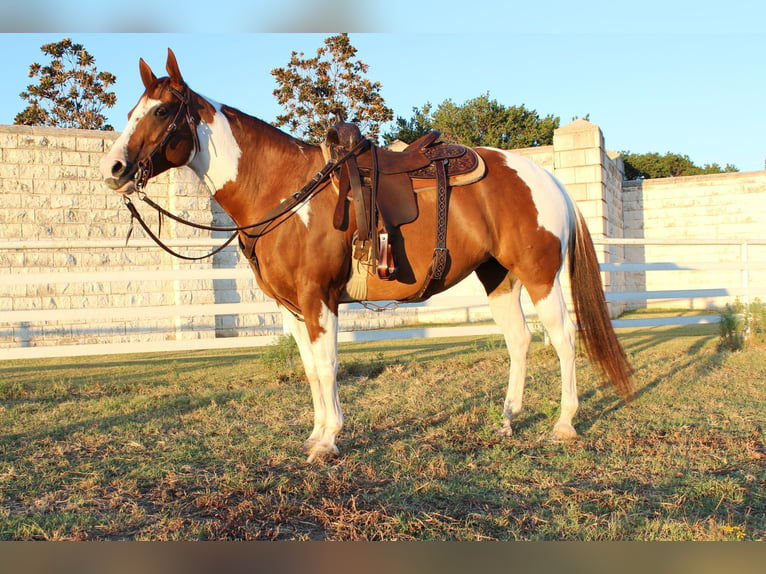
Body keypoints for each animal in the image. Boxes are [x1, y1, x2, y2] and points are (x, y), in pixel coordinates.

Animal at [99, 48, 632, 464]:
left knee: (563, 339)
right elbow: (310, 369)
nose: (114, 168)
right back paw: (507, 419)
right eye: (130, 112)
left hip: (539, 276)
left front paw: (329, 440)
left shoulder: (319, 299)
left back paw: (564, 424)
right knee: (520, 341)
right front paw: (316, 433)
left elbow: (328, 365)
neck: (285, 189)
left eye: (162, 112)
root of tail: (549, 180)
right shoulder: (292, 308)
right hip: (498, 277)